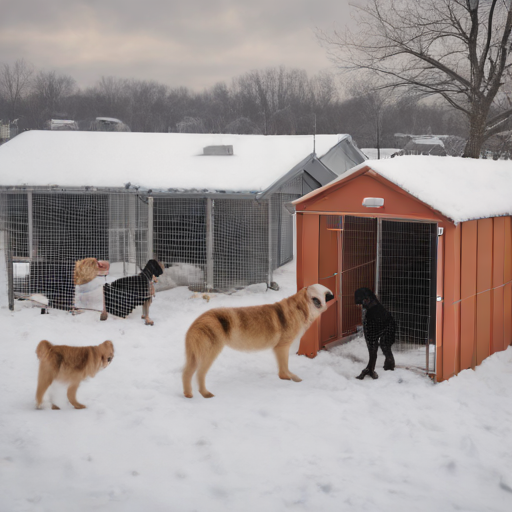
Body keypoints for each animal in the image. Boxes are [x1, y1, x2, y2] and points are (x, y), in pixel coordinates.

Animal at [182, 286, 334, 398]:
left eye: (327, 295)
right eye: (319, 296)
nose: (330, 297)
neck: (299, 308)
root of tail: (194, 324)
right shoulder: (282, 346)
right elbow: (284, 369)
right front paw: (290, 378)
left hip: (193, 355)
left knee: (187, 372)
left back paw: (188, 394)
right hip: (209, 353)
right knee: (199, 374)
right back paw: (205, 393)